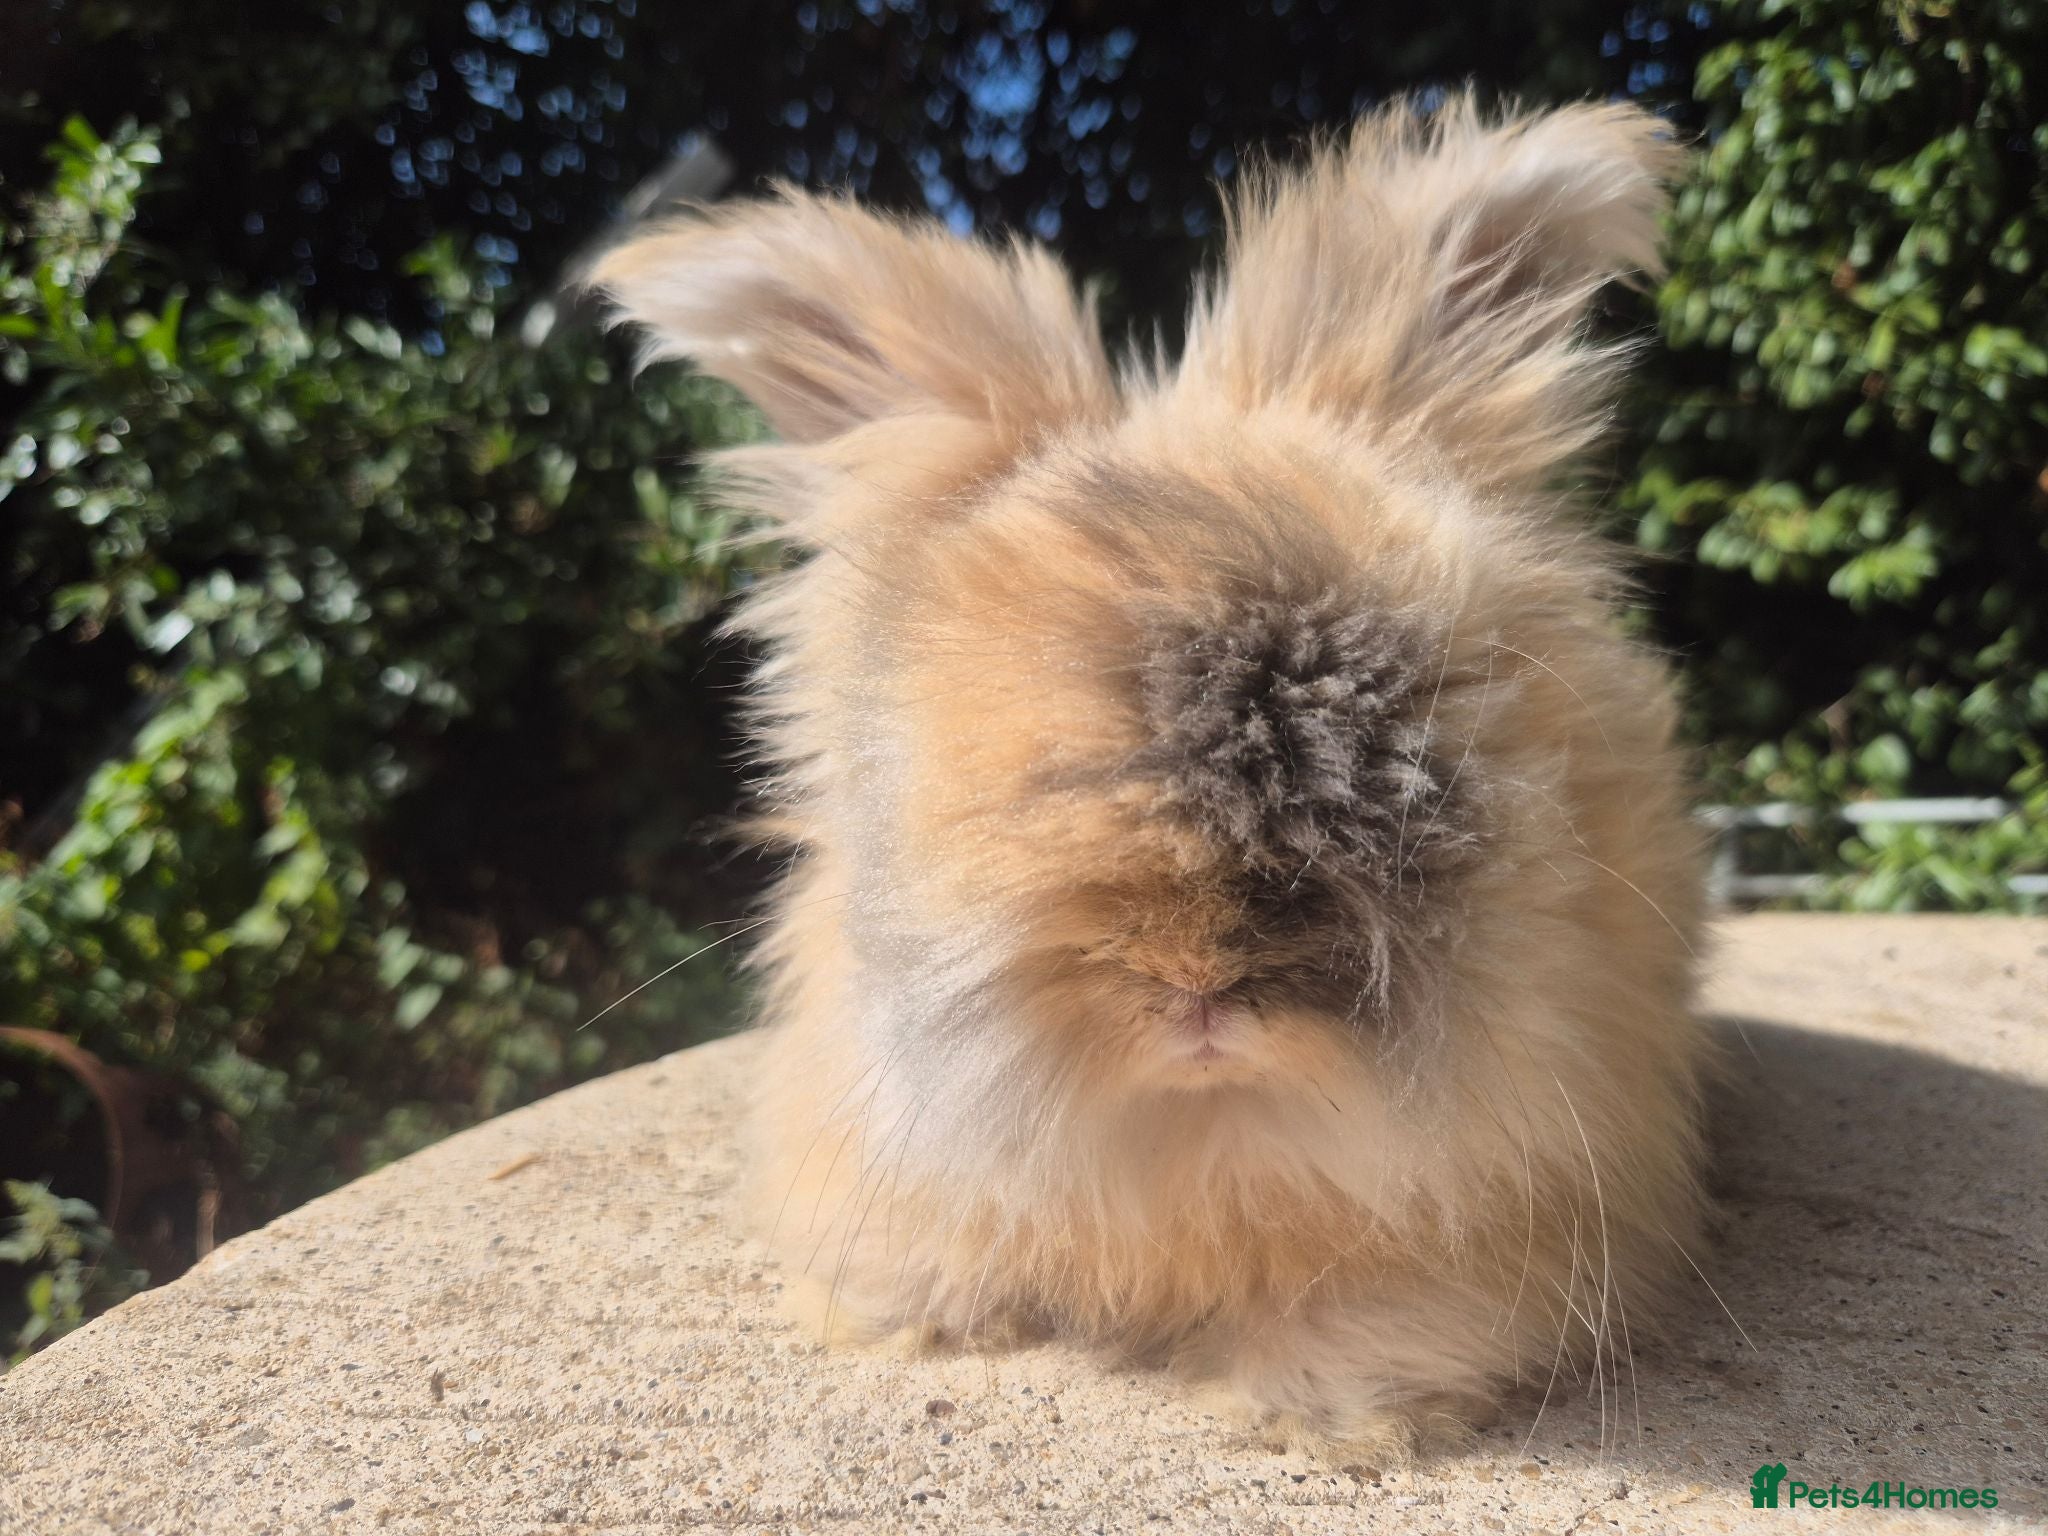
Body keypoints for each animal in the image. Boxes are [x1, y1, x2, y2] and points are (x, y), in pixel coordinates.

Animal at [595, 94, 1709, 1455]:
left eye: (1402, 738)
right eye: (1012, 782)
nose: (1199, 988)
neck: (1199, 1129)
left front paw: (1305, 1413)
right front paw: (886, 1316)